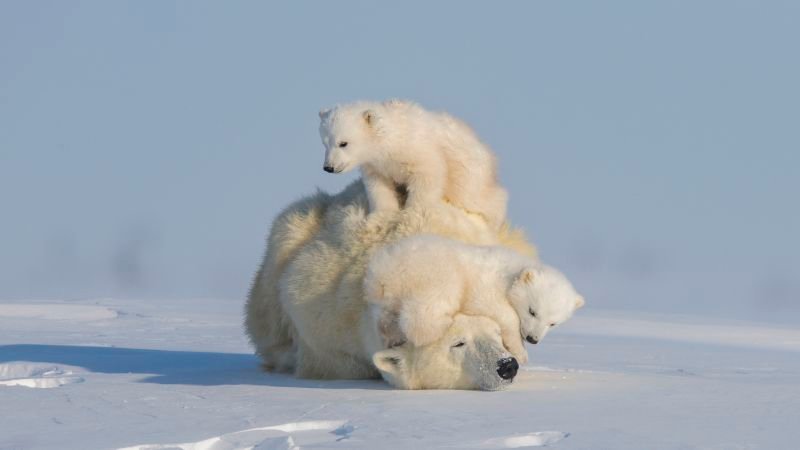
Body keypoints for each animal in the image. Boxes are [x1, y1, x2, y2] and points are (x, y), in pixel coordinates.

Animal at [318, 99, 509, 230]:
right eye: (325, 143)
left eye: (343, 143)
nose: (328, 167)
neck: (391, 140)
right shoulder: (376, 166)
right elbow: (379, 186)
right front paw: (382, 215)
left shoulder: (417, 150)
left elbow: (428, 175)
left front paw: (412, 214)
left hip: (469, 174)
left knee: (478, 197)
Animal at [364, 234, 585, 363]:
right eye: (532, 311)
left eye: (553, 323)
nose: (533, 339)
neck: (511, 270)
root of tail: (382, 271)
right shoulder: (486, 284)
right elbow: (501, 312)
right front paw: (521, 353)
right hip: (433, 273)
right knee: (426, 310)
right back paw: (442, 323)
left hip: (390, 294)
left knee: (386, 317)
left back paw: (390, 335)